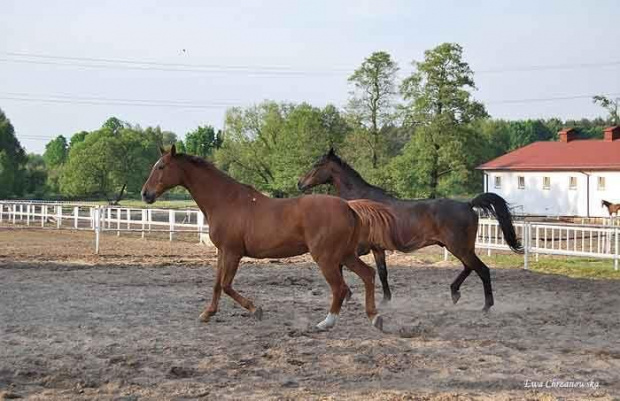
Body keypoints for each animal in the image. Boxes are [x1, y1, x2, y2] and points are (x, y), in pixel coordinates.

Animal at [298, 148, 520, 310]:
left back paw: (486, 306)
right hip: (460, 248)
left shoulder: (358, 248)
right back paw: (454, 292)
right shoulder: (377, 249)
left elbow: (341, 266)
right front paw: (385, 300)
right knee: (469, 267)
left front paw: (348, 295)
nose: (300, 183)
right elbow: (382, 272)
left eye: (317, 165)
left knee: (482, 269)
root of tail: (467, 204)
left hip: (459, 247)